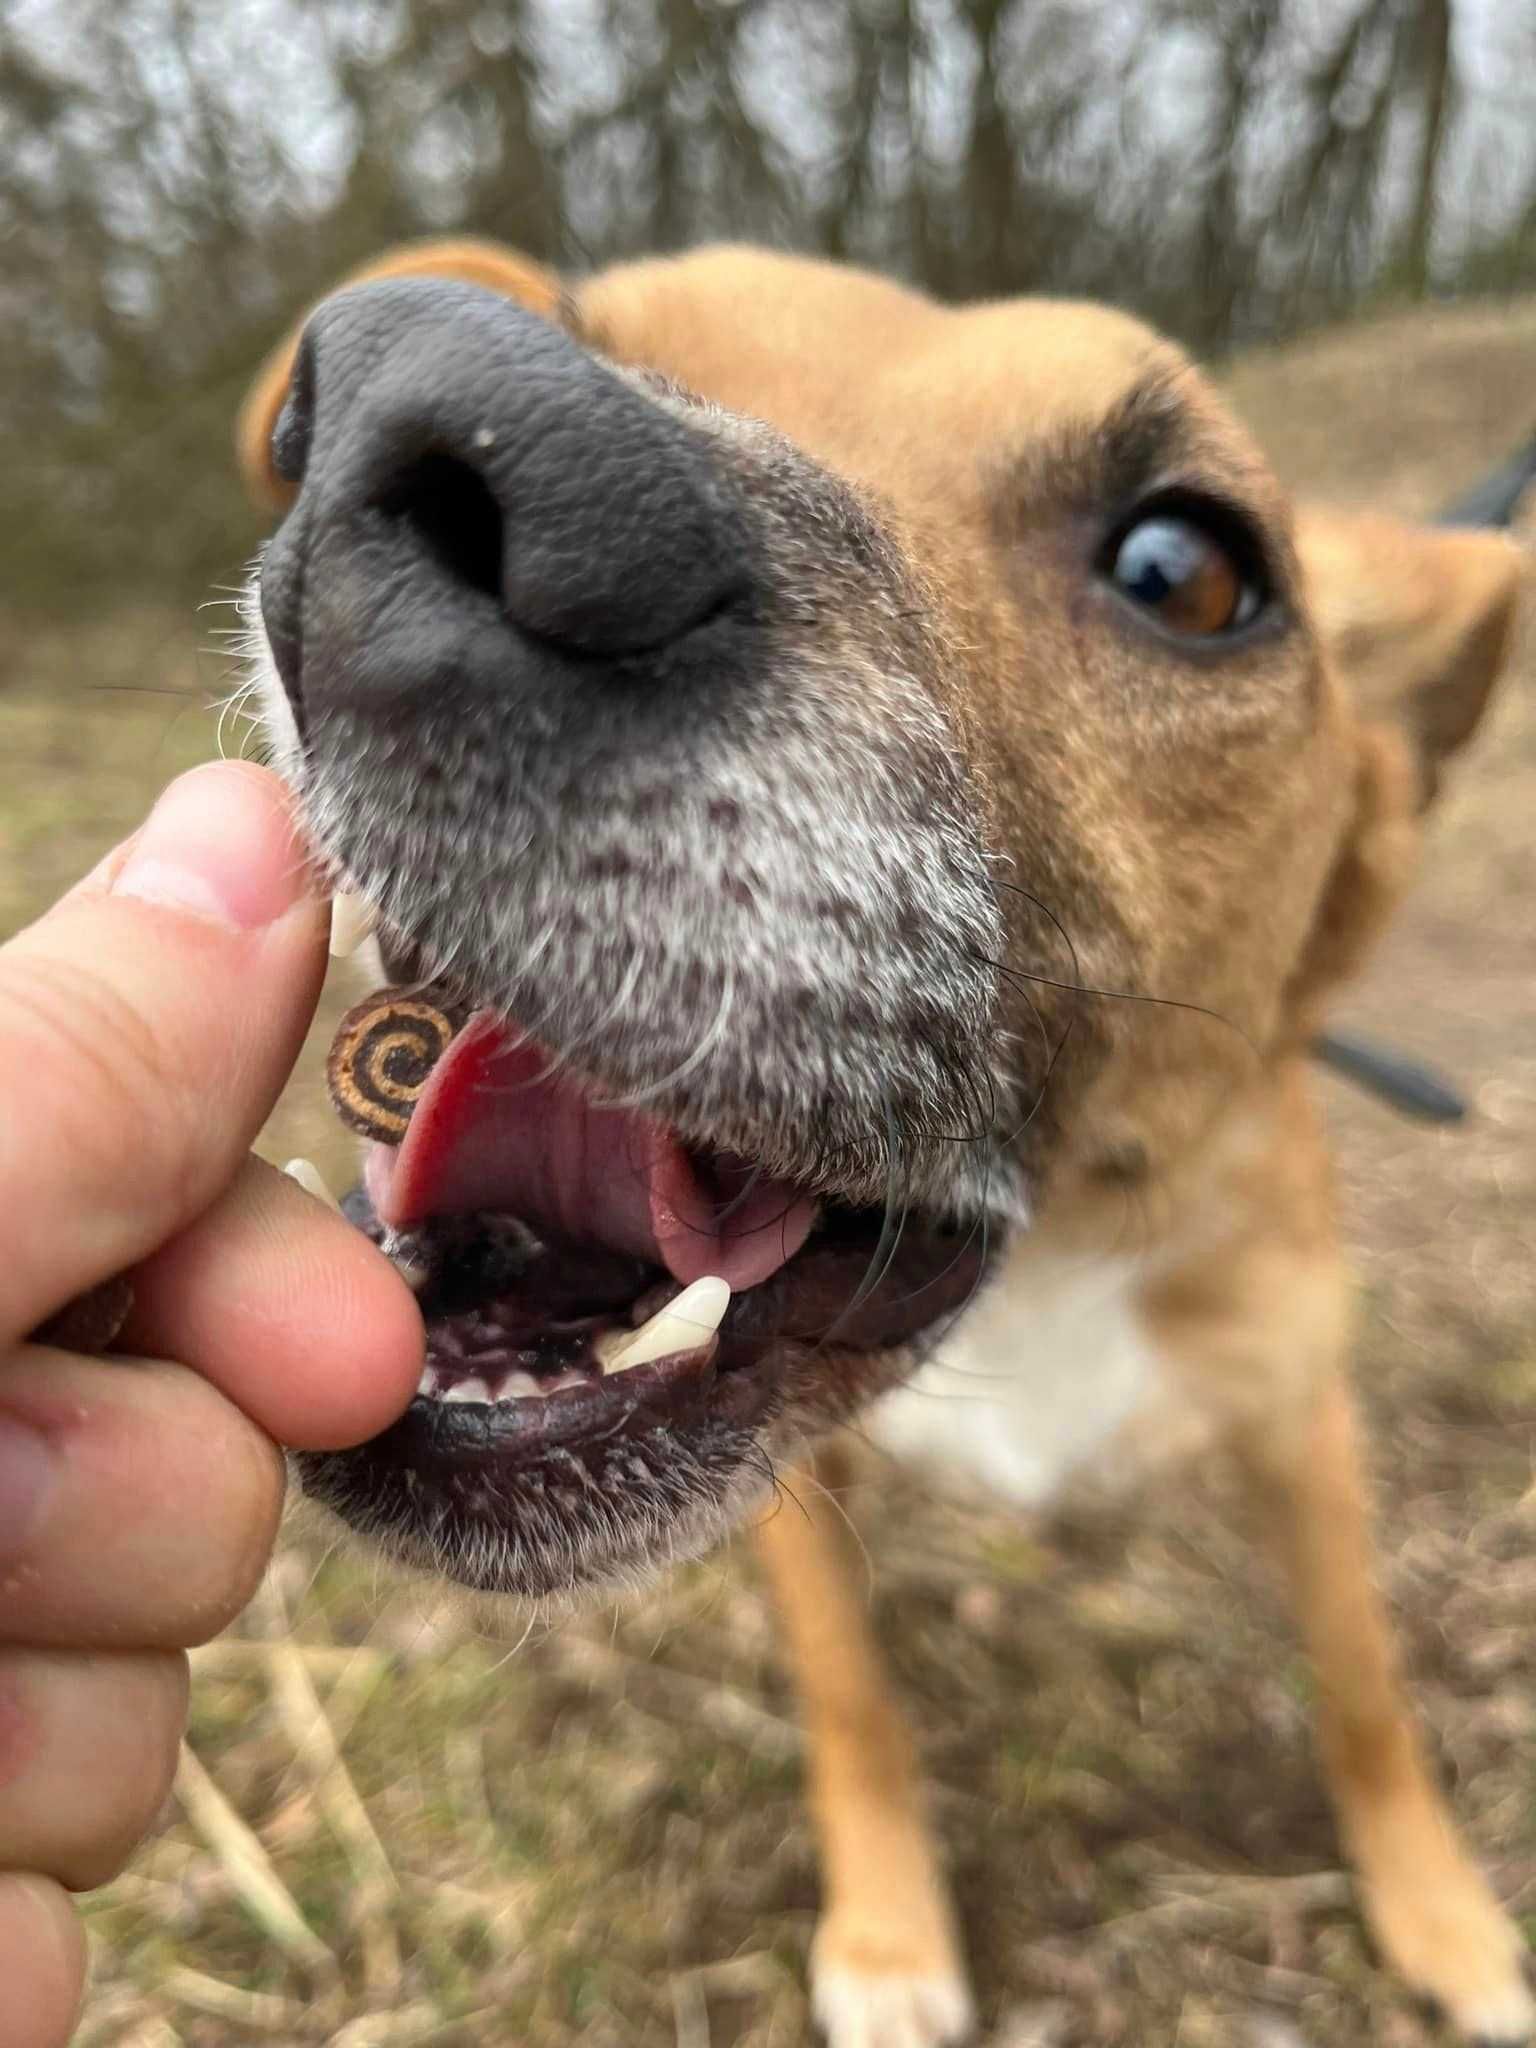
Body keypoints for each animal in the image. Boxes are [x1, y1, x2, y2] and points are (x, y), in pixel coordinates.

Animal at [234, 243, 1531, 2048]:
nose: (392, 417)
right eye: (595, 330)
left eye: (1185, 571)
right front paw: (891, 1930)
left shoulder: (1300, 1421)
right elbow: (854, 1698)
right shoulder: (798, 1491)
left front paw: (1440, 1911)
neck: (1050, 1258)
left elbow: (1362, 1686)